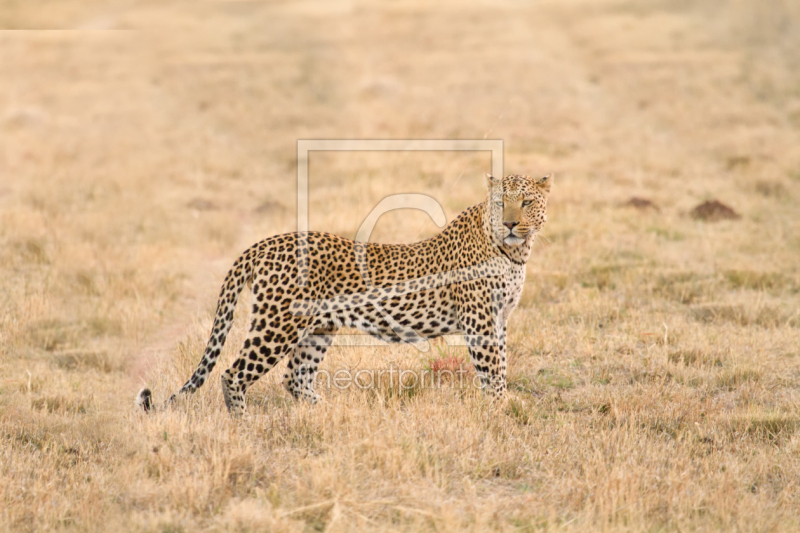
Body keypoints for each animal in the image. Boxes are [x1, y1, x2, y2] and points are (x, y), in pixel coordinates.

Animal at [136, 172, 552, 414]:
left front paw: (502, 406)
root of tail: (263, 244)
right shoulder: (480, 321)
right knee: (233, 374)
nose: (511, 223)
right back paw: (244, 425)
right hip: (276, 325)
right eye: (500, 203)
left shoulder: (499, 319)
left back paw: (327, 412)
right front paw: (501, 410)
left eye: (526, 201)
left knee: (296, 377)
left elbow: (501, 365)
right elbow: (492, 369)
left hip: (317, 328)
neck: (515, 251)